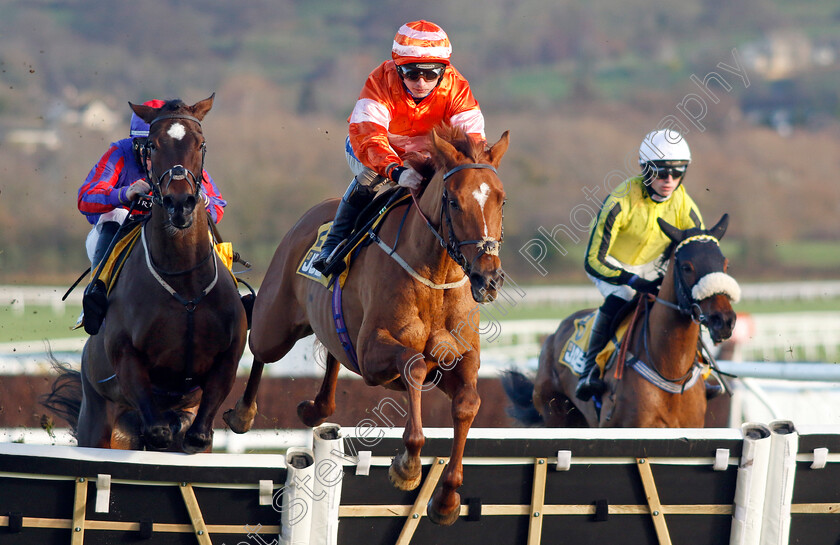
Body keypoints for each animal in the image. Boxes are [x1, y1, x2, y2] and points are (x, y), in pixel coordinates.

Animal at [44, 95, 246, 452]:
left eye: (200, 143)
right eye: (153, 144)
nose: (180, 203)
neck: (183, 282)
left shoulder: (226, 360)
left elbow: (198, 433)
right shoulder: (127, 358)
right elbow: (157, 428)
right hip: (97, 418)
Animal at [226, 125, 508, 524]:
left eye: (501, 200)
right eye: (454, 201)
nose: (489, 278)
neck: (435, 278)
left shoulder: (458, 361)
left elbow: (468, 402)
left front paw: (447, 498)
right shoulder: (375, 353)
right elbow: (414, 364)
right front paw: (408, 465)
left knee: (332, 353)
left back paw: (315, 408)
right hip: (275, 323)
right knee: (260, 347)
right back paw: (242, 413)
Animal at [502, 215, 740, 428]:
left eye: (726, 265)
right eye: (687, 267)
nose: (723, 320)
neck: (671, 372)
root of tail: (553, 336)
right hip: (557, 414)